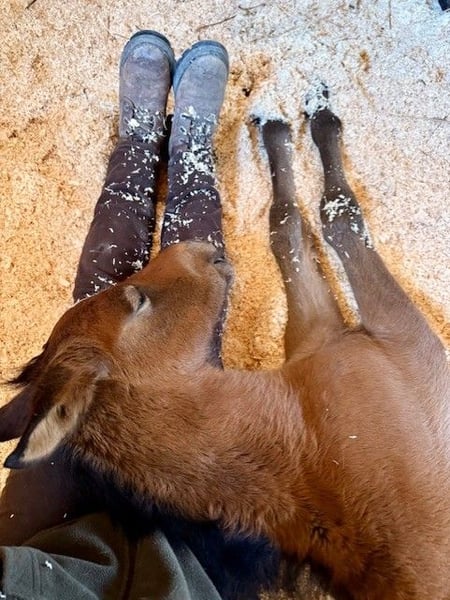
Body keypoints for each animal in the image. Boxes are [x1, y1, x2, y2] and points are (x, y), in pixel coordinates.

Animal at [1, 85, 449, 599]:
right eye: (136, 301)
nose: (199, 248)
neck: (302, 450)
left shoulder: (317, 338)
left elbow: (284, 225)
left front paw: (281, 123)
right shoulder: (405, 347)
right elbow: (337, 214)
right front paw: (315, 119)